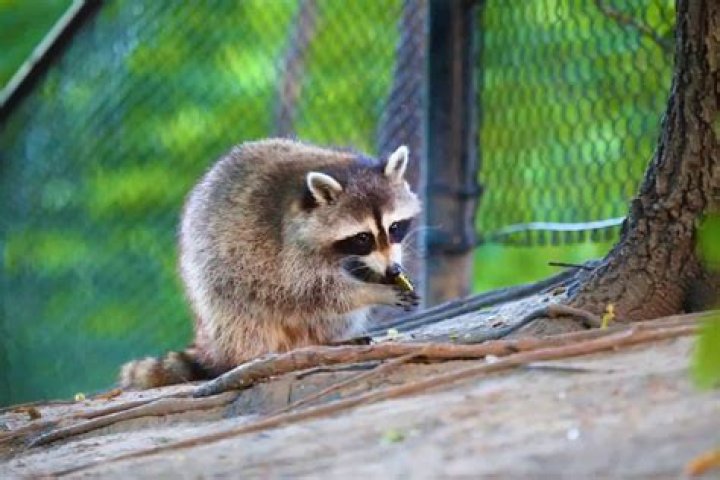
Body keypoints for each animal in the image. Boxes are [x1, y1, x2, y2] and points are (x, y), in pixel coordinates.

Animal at [120, 138, 421, 389]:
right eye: (362, 238)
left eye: (395, 227)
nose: (392, 270)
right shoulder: (288, 248)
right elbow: (313, 290)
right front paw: (373, 291)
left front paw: (379, 277)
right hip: (219, 282)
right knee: (245, 312)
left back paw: (327, 340)